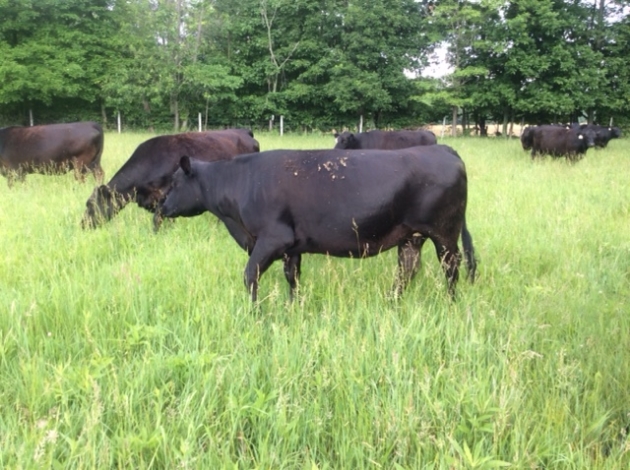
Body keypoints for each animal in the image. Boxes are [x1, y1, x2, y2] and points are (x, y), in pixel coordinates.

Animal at [160, 145, 476, 302]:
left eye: (174, 182)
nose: (161, 207)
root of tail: (443, 150)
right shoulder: (292, 246)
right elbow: (293, 277)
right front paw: (293, 306)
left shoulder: (272, 239)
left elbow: (250, 275)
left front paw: (255, 312)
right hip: (411, 237)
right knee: (408, 270)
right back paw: (391, 301)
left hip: (445, 234)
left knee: (451, 268)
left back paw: (450, 303)